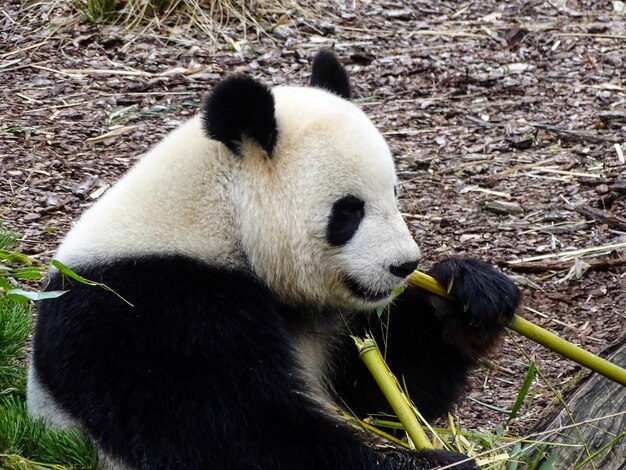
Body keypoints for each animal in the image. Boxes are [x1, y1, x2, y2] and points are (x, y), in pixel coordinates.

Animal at [28, 51, 516, 470]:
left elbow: (385, 393)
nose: (404, 266)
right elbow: (235, 432)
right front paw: (435, 463)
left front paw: (467, 296)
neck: (217, 215)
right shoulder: (149, 306)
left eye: (394, 194)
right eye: (348, 211)